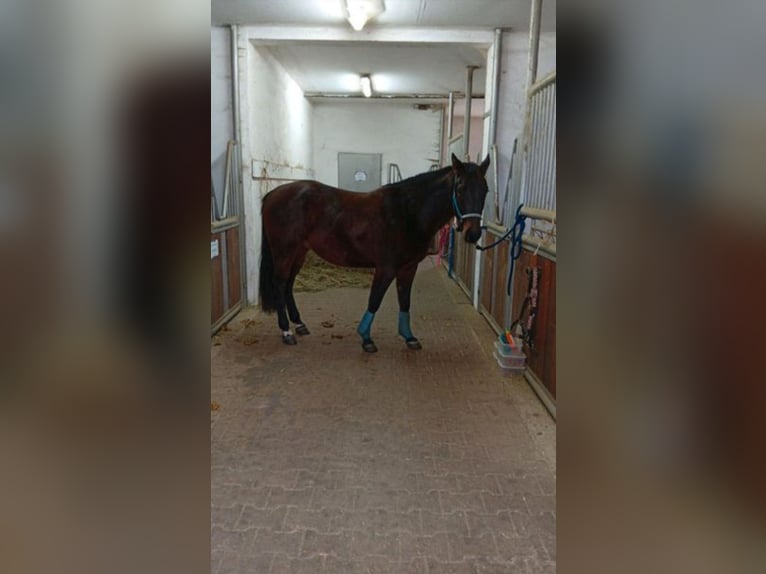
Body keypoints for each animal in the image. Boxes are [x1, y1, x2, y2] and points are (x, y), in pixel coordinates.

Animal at [259, 153, 490, 352]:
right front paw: (366, 338)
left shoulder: (408, 268)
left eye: (485, 190)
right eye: (460, 188)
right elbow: (375, 300)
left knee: (289, 284)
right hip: (284, 252)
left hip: (299, 252)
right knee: (279, 283)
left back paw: (299, 324)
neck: (407, 212)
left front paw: (409, 337)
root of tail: (273, 194)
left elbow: (405, 301)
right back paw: (286, 331)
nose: (473, 233)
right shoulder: (386, 268)